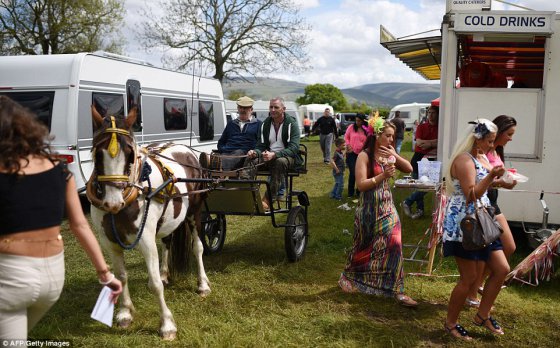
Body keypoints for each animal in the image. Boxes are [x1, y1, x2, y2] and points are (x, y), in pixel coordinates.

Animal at [86, 106, 211, 340]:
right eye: (97, 153)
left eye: (130, 154)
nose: (113, 203)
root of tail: (185, 149)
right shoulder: (109, 242)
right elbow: (121, 276)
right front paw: (125, 313)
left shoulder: (145, 241)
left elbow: (154, 285)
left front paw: (167, 325)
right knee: (167, 241)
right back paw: (164, 273)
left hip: (194, 213)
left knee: (197, 247)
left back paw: (202, 284)